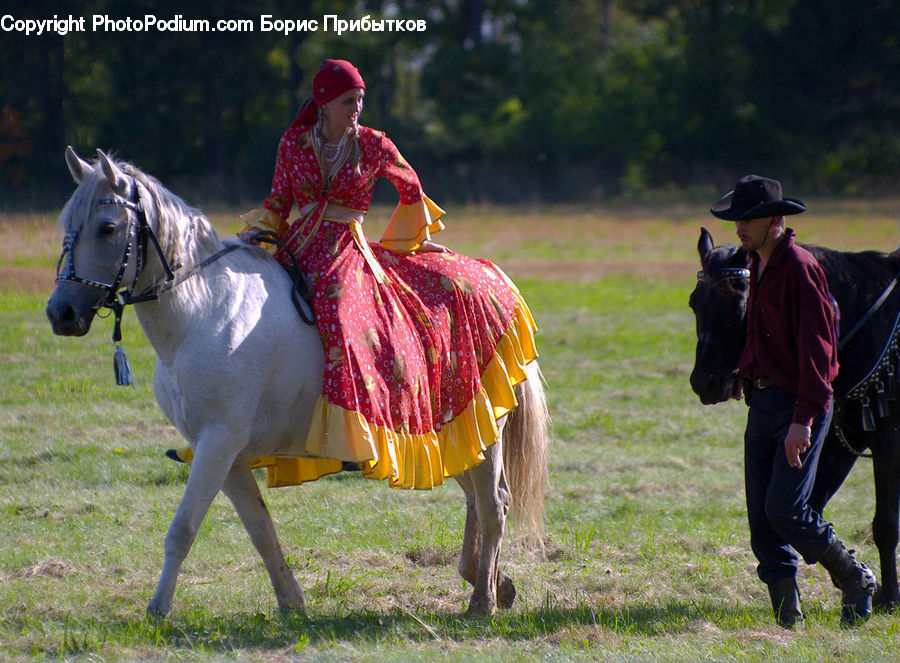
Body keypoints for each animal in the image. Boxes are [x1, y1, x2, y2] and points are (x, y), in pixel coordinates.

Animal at [45, 147, 550, 618]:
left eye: (108, 228)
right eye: (66, 225)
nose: (61, 313)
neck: (203, 311)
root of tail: (495, 278)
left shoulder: (217, 443)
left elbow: (183, 528)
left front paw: (158, 609)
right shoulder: (226, 454)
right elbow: (261, 531)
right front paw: (291, 603)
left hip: (481, 427)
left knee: (493, 503)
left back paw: (482, 601)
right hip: (457, 433)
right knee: (479, 499)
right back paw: (492, 582)